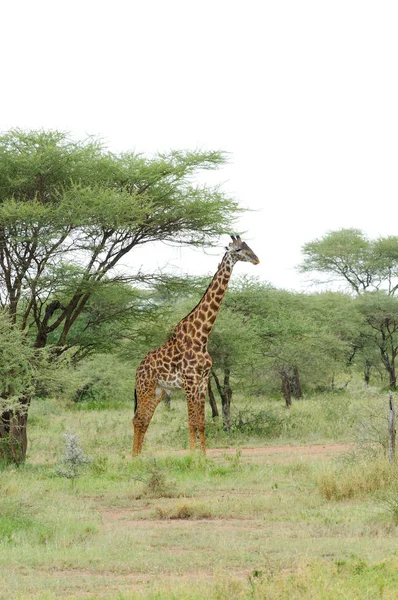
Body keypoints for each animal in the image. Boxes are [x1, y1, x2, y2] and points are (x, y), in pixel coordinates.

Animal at [132, 234, 260, 454]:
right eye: (237, 250)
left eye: (249, 246)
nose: (256, 259)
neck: (202, 336)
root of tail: (138, 369)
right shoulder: (190, 383)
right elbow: (192, 423)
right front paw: (192, 457)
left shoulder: (201, 382)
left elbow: (201, 423)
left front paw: (203, 457)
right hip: (145, 388)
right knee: (138, 420)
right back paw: (133, 459)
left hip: (158, 390)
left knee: (144, 420)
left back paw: (139, 458)